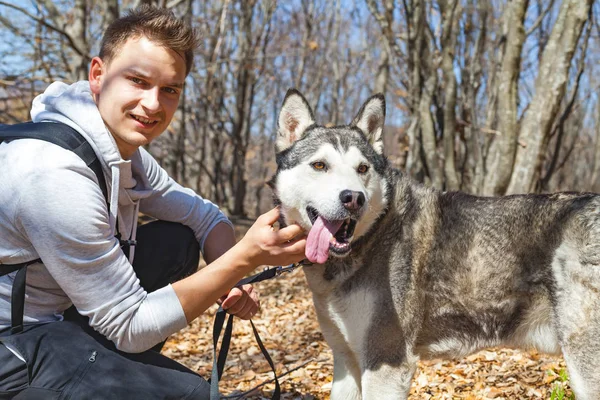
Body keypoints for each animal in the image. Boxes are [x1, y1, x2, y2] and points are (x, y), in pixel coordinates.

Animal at [270, 89, 600, 398]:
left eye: (362, 169)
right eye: (319, 165)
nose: (353, 198)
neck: (374, 233)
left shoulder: (386, 363)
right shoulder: (345, 360)